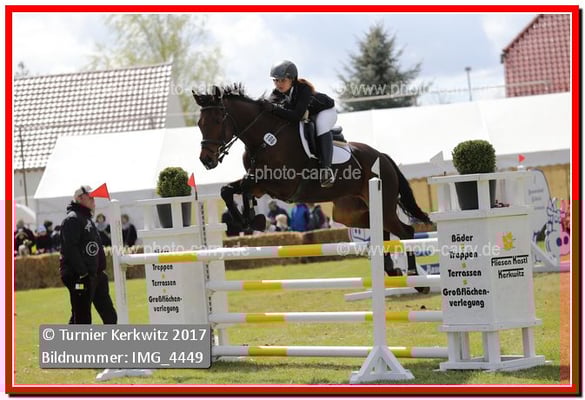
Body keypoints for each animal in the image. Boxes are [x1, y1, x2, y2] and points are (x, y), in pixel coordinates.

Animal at [192, 84, 432, 285]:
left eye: (217, 121)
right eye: (199, 124)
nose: (206, 160)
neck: (264, 138)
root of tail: (382, 156)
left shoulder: (280, 183)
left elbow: (243, 187)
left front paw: (250, 219)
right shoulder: (259, 184)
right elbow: (228, 189)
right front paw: (248, 219)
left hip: (384, 203)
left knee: (406, 232)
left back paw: (414, 277)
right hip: (351, 212)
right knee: (381, 230)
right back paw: (392, 270)